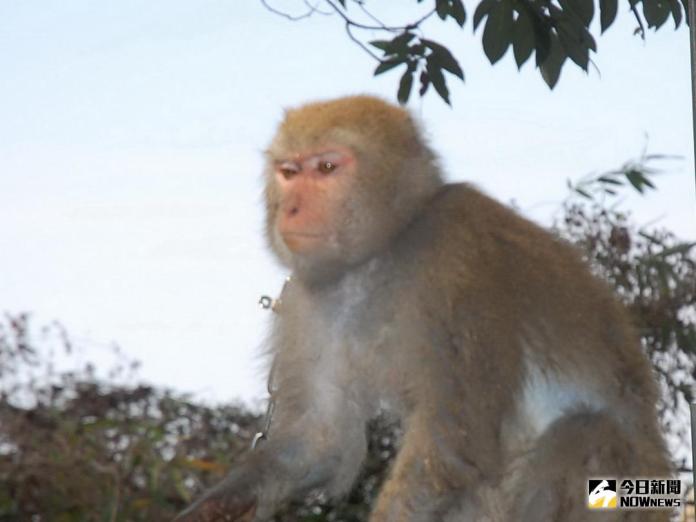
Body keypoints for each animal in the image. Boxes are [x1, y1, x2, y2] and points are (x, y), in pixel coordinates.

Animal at [175, 95, 676, 516]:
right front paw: (211, 509)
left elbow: (452, 442)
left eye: (327, 167)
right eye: (289, 172)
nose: (291, 209)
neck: (386, 250)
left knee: (582, 433)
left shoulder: (456, 266)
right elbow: (318, 439)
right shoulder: (308, 296)